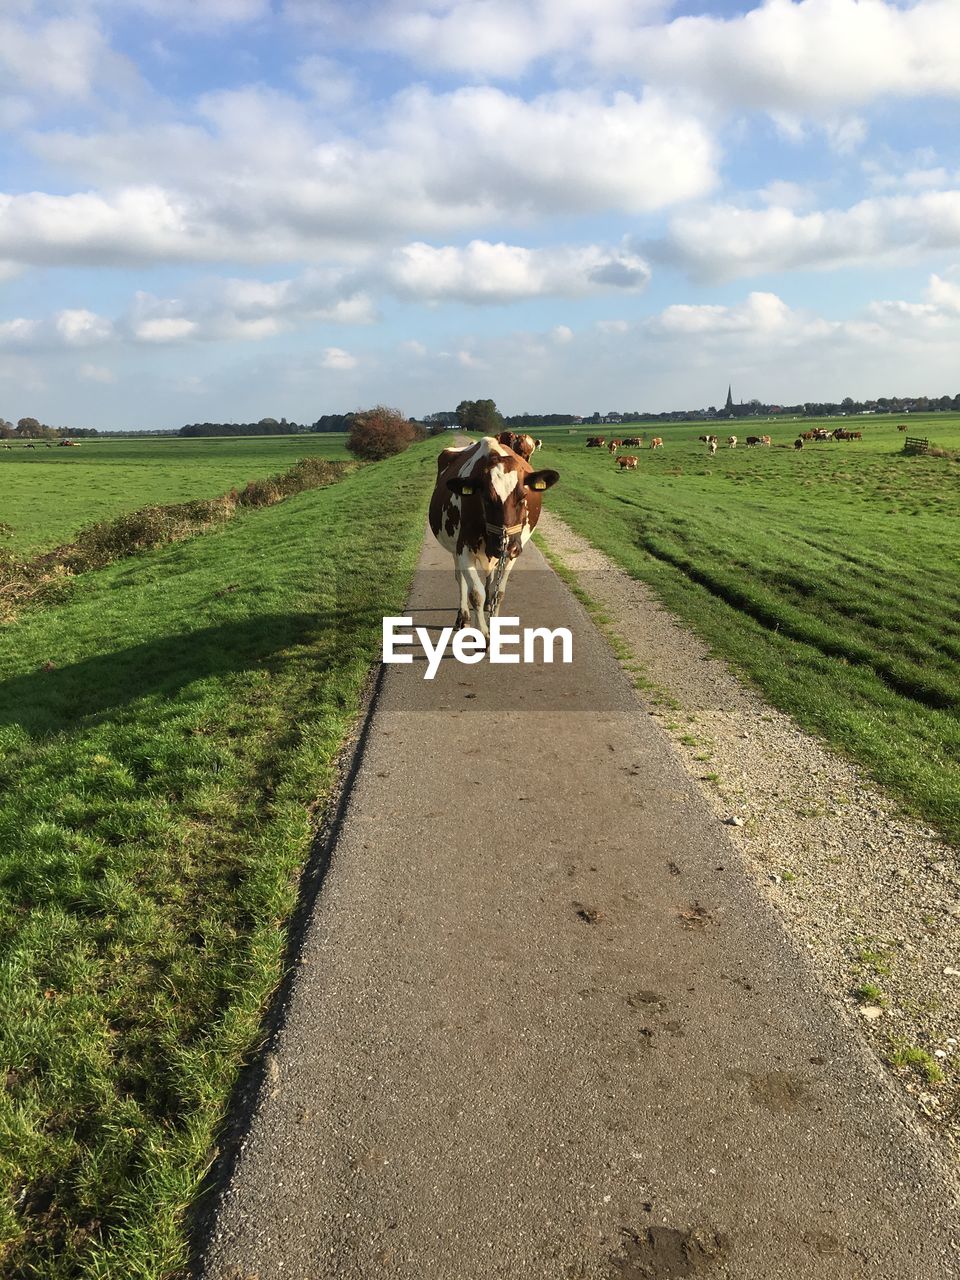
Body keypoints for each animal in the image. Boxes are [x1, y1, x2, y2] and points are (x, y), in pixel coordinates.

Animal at [430, 437, 560, 637]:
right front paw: (483, 634)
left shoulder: (513, 551)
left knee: (490, 577)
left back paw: (487, 604)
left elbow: (499, 594)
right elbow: (475, 593)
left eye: (523, 496)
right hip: (454, 548)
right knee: (461, 579)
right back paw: (463, 616)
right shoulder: (463, 548)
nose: (506, 546)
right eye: (486, 499)